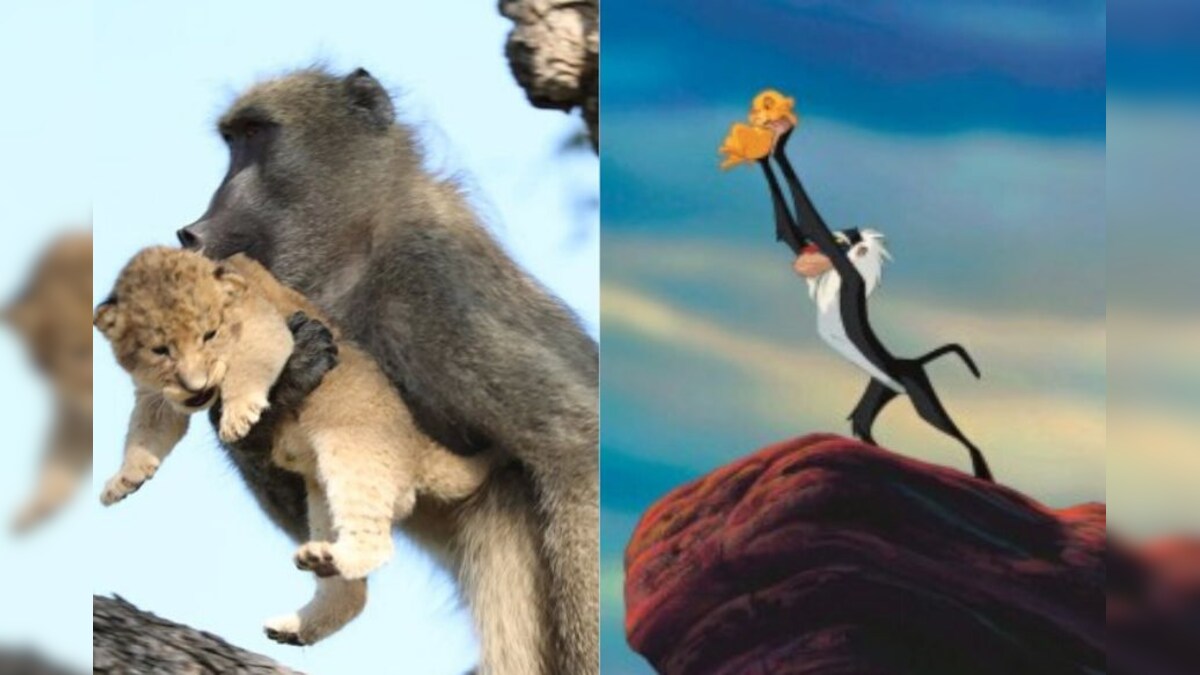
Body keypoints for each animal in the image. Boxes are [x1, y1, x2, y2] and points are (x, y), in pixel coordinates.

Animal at [93, 246, 497, 646]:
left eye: (210, 335)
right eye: (160, 350)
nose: (196, 385)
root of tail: (415, 442)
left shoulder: (265, 326)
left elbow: (249, 365)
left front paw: (239, 416)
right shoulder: (155, 394)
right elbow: (146, 429)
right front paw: (124, 479)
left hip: (351, 455)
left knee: (378, 544)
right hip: (321, 501)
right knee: (352, 593)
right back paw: (297, 619)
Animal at [175, 67, 597, 673]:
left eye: (255, 135)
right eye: (231, 140)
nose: (192, 231)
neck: (355, 252)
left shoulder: (433, 281)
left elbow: (575, 443)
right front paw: (286, 381)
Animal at [758, 125, 994, 482]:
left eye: (840, 240)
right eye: (808, 250)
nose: (807, 255)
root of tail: (909, 361)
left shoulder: (845, 268)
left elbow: (810, 220)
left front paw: (780, 144)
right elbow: (789, 228)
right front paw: (762, 152)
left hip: (916, 388)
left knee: (947, 427)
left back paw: (980, 469)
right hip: (881, 386)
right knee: (862, 422)